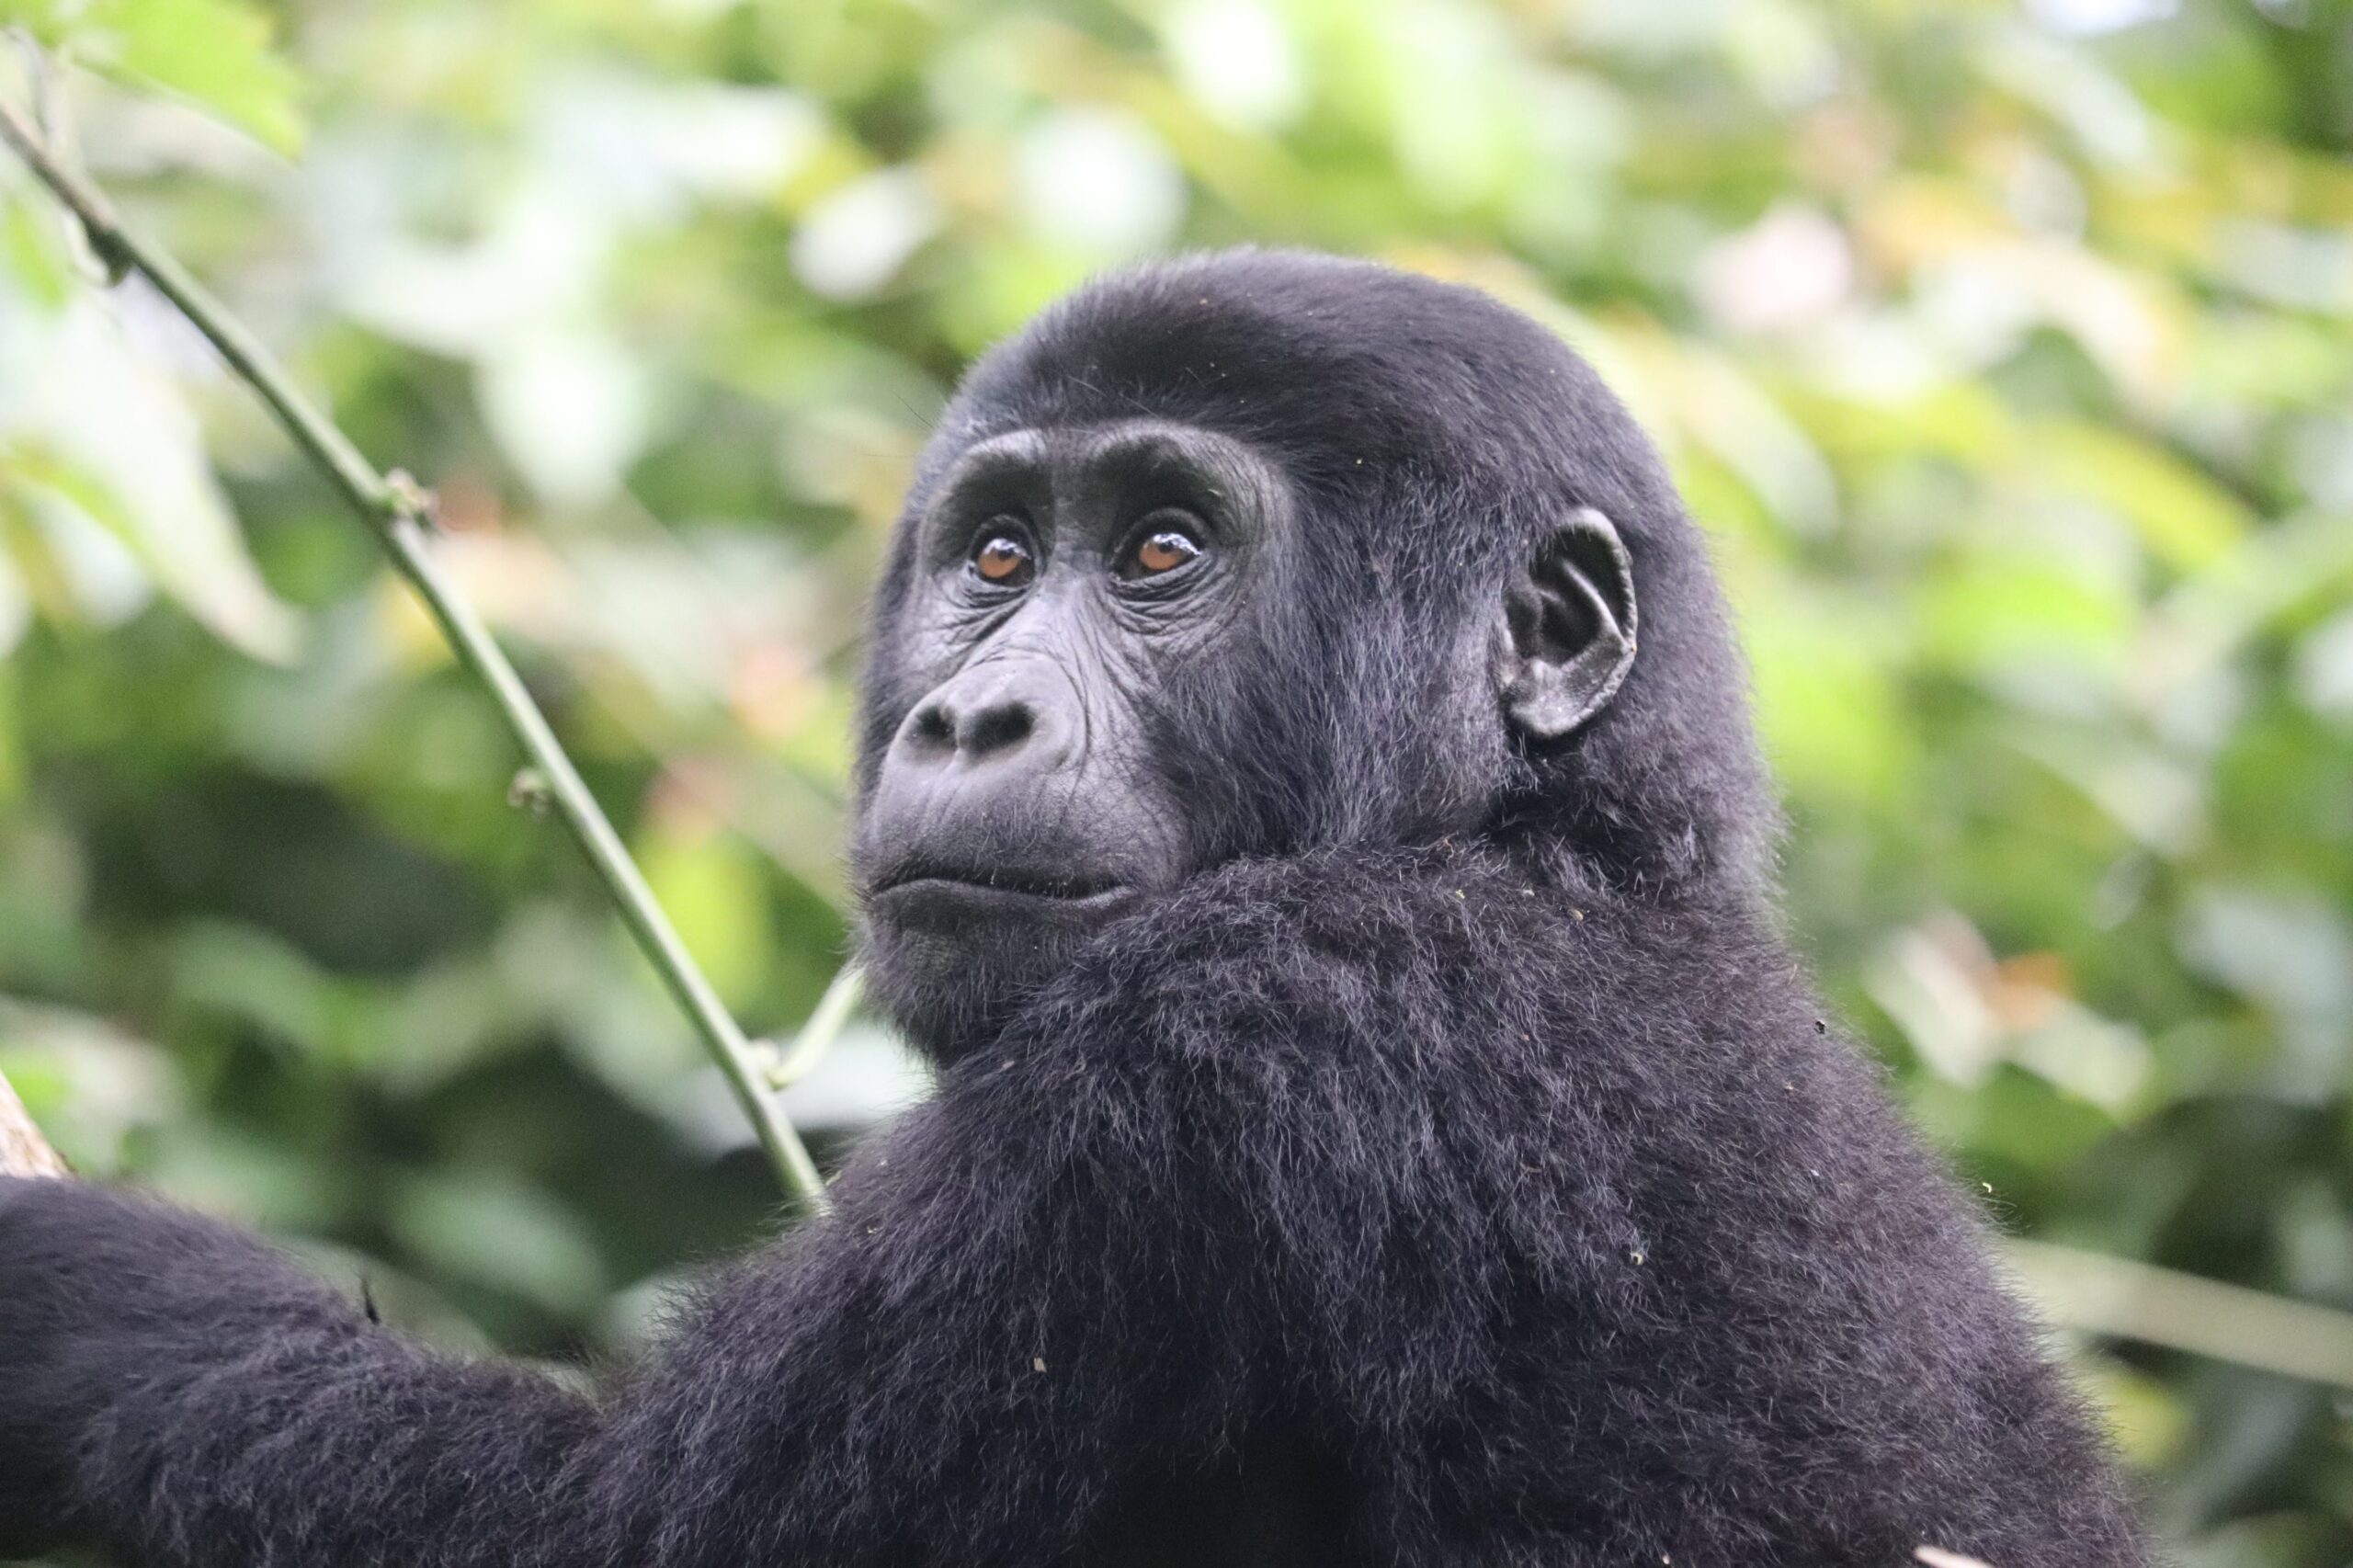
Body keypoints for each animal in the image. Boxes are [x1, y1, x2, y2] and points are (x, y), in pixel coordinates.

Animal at [0, 250, 2154, 1553]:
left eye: (1165, 552)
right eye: (996, 555)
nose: (971, 709)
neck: (1556, 840)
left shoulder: (1232, 1042)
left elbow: (593, 1528)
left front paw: (95, 1303)